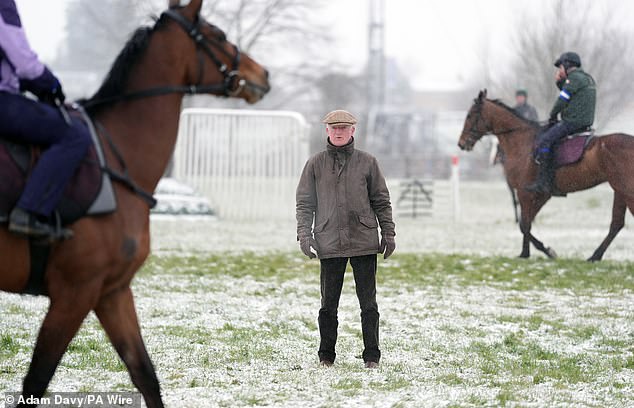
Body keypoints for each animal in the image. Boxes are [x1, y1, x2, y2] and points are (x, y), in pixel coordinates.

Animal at [0, 0, 266, 408]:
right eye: (219, 35)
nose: (263, 74)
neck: (118, 158)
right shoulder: (74, 294)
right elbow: (36, 381)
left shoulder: (112, 292)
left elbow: (145, 374)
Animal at [460, 90, 632, 262]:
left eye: (470, 115)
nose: (461, 144)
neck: (523, 143)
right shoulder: (541, 195)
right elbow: (525, 224)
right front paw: (534, 251)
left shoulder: (525, 193)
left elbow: (525, 224)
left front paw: (532, 253)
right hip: (619, 190)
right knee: (616, 224)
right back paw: (595, 256)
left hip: (625, 190)